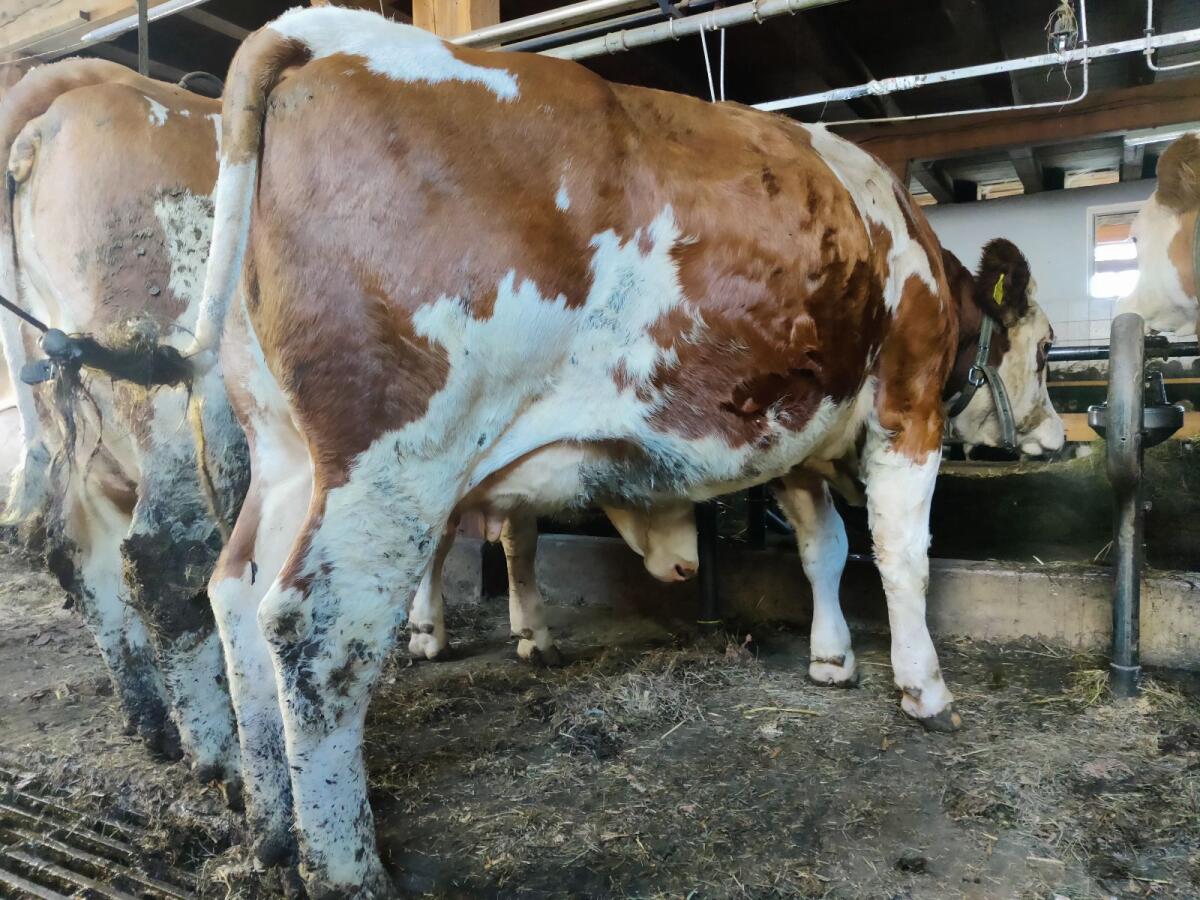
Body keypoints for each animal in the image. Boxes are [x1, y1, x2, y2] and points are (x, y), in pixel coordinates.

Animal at [189, 8, 1062, 893]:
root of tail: (326, 33)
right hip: (394, 458)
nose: (1056, 435)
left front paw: (830, 657)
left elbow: (824, 549)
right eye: (1048, 348)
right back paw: (348, 867)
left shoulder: (793, 441)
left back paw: (269, 831)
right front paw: (924, 687)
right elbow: (901, 555)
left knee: (235, 591)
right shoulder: (905, 405)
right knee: (317, 628)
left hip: (287, 453)